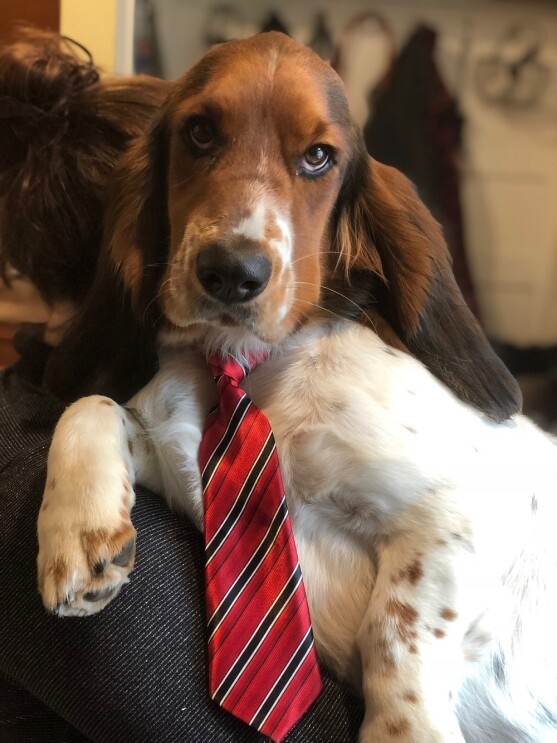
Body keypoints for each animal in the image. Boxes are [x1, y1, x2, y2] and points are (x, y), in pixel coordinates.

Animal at [35, 33, 556, 743]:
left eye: (317, 157)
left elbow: (394, 636)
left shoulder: (468, 511)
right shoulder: (177, 457)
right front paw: (77, 532)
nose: (232, 272)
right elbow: (92, 406)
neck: (249, 366)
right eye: (199, 132)